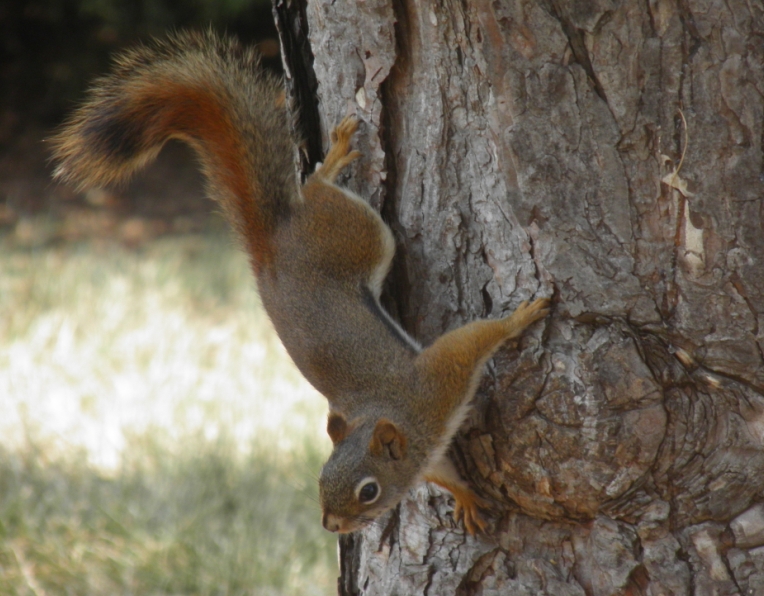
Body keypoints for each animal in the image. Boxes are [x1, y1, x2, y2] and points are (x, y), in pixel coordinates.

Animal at [51, 31, 550, 536]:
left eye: (368, 491)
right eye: (321, 478)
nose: (331, 526)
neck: (400, 420)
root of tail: (270, 244)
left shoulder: (438, 384)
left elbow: (472, 341)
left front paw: (519, 318)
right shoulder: (428, 425)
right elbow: (442, 469)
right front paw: (464, 495)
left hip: (359, 236)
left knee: (317, 191)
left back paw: (330, 163)